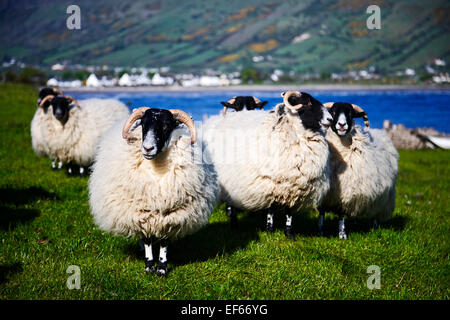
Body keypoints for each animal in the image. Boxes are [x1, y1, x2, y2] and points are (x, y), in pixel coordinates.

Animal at [88, 106, 218, 276]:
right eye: (143, 124)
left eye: (167, 126)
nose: (148, 148)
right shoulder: (142, 213)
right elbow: (147, 239)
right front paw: (149, 266)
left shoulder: (171, 216)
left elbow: (164, 241)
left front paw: (162, 268)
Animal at [202, 90, 332, 238]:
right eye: (307, 102)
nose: (330, 119)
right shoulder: (270, 183)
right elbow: (270, 210)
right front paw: (270, 231)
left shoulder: (293, 186)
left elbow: (289, 213)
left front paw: (289, 233)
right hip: (230, 181)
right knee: (232, 204)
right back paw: (234, 225)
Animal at [318, 101, 400, 239]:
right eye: (333, 112)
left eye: (350, 113)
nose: (342, 125)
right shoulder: (327, 193)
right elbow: (322, 212)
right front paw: (320, 231)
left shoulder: (344, 192)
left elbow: (341, 214)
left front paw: (342, 234)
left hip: (383, 196)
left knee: (376, 211)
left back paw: (374, 225)